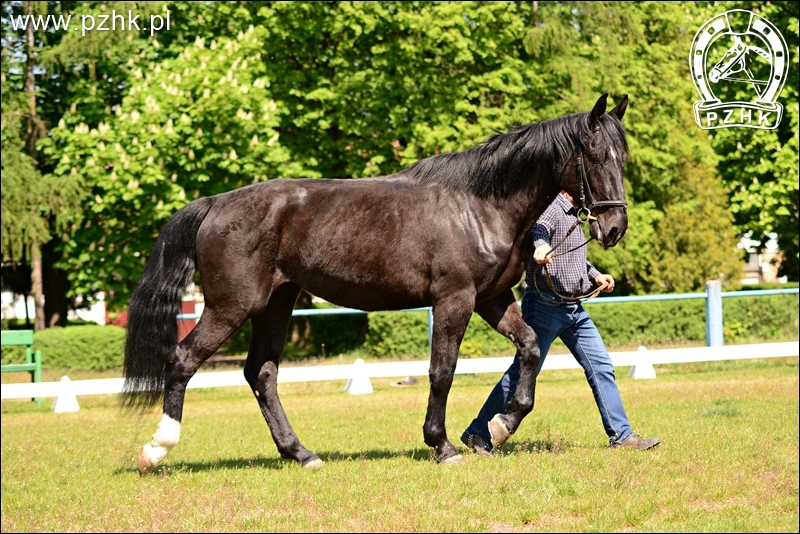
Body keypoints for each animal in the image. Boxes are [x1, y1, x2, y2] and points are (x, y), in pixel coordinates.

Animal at [122, 94, 628, 476]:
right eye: (595, 155)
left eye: (623, 156)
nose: (615, 228)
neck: (479, 206)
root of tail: (215, 203)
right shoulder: (454, 300)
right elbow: (442, 372)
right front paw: (442, 446)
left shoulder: (491, 299)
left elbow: (530, 348)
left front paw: (502, 425)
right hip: (231, 307)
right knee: (183, 360)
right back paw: (155, 450)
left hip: (275, 305)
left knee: (261, 374)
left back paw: (302, 454)